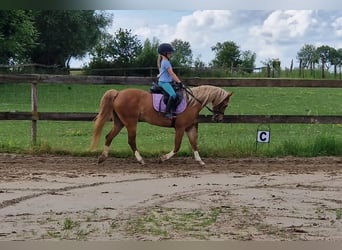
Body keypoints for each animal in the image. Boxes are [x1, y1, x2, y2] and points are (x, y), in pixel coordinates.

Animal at [91, 85, 232, 165]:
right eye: (225, 104)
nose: (218, 118)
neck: (192, 102)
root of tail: (119, 93)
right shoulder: (180, 128)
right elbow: (177, 147)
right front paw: (162, 158)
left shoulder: (190, 127)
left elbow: (194, 144)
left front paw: (200, 161)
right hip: (131, 122)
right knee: (131, 140)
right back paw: (141, 160)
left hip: (120, 122)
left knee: (109, 136)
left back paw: (102, 158)